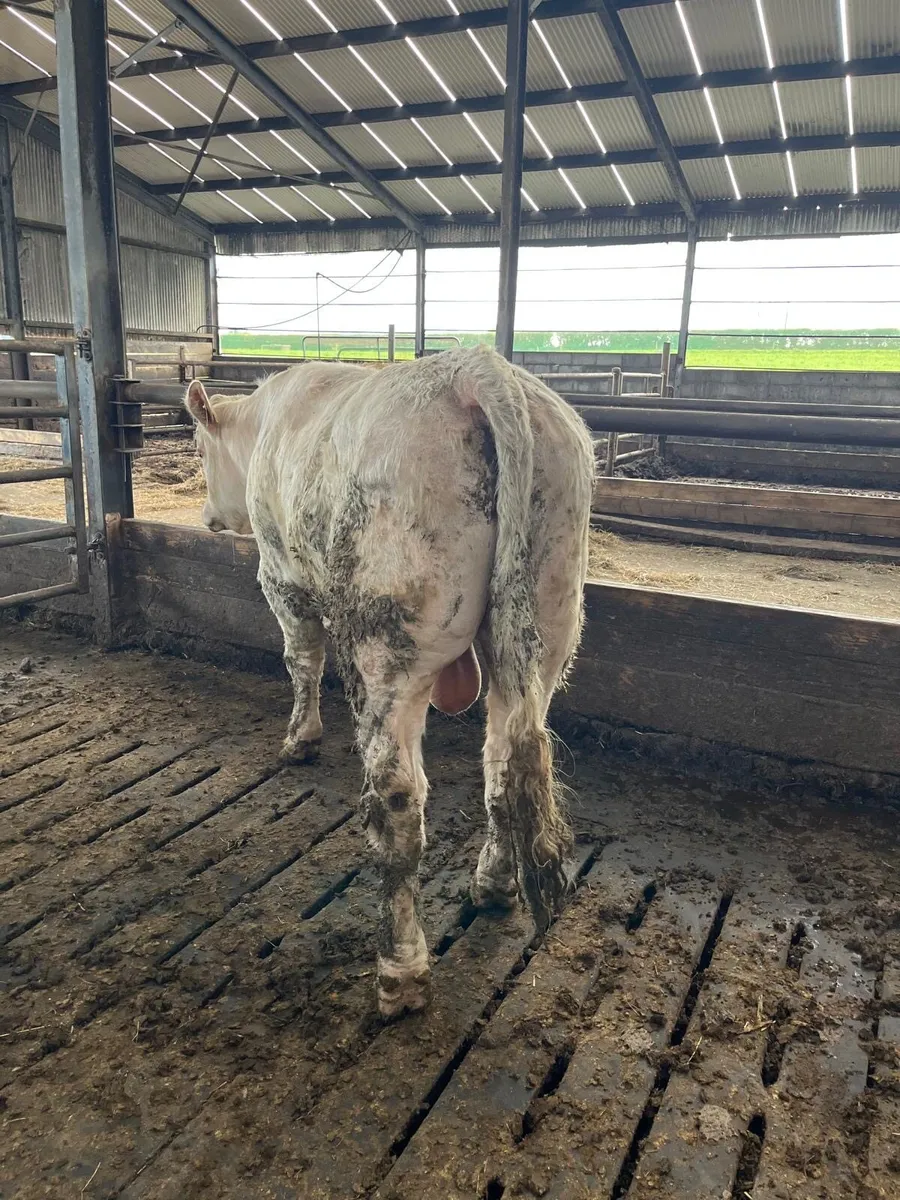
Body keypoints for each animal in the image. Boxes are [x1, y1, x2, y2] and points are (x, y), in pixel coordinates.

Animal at [185, 346, 594, 1018]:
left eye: (198, 446)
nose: (209, 518)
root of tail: (476, 368)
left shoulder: (281, 574)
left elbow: (301, 657)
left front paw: (300, 738)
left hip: (389, 642)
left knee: (397, 801)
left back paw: (401, 969)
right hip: (545, 623)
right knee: (503, 766)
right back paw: (492, 885)